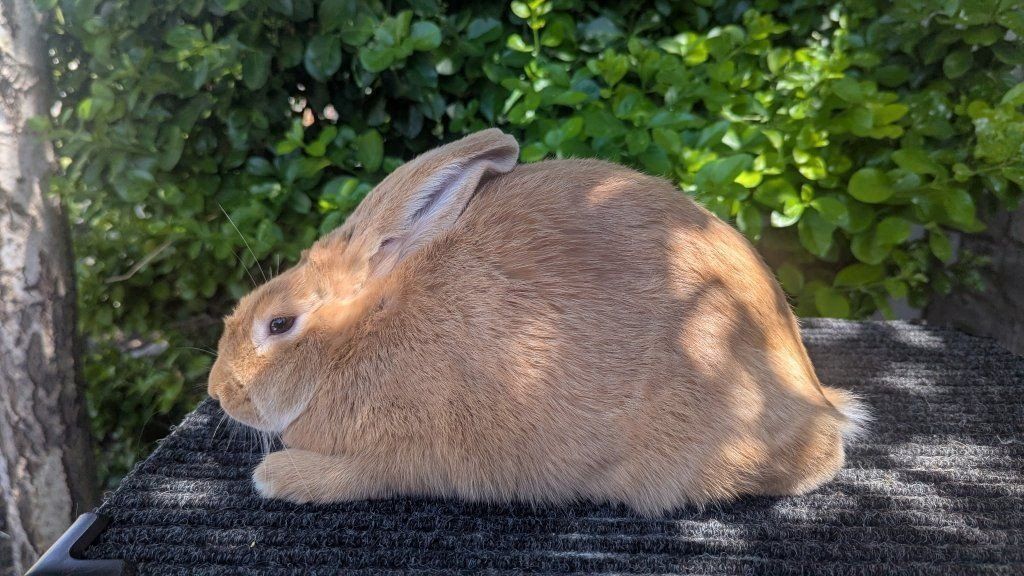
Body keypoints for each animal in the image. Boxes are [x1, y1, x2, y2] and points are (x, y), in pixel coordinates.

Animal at [207, 128, 868, 514]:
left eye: (279, 325)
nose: (217, 391)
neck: (367, 331)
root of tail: (811, 393)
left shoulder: (401, 456)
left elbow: (351, 475)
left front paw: (275, 476)